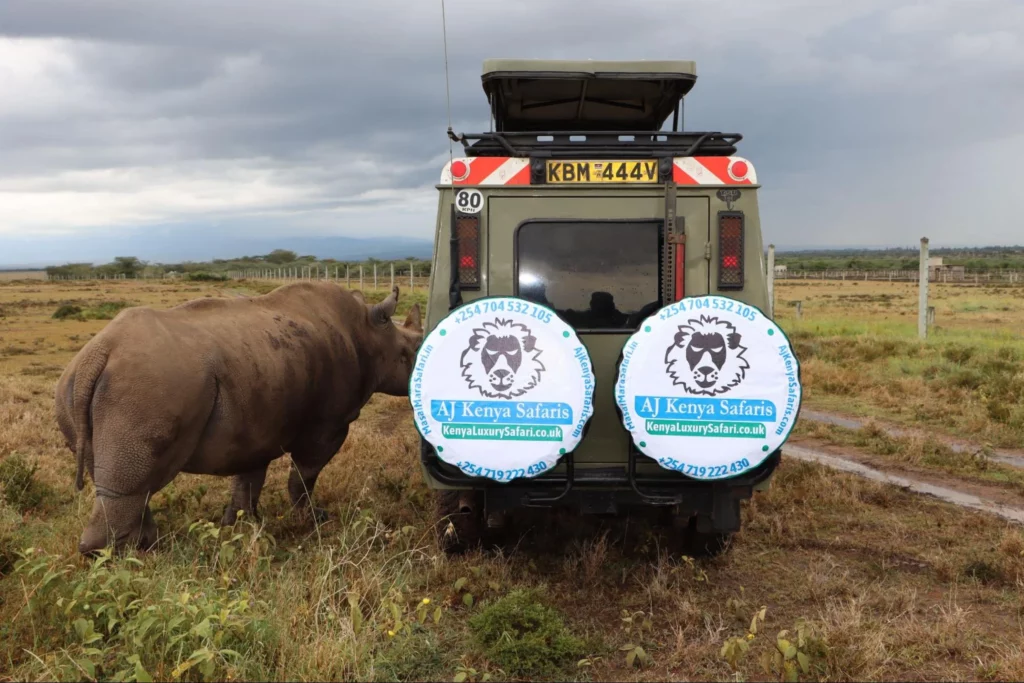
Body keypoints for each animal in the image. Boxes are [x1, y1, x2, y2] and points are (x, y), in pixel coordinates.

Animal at [55, 282, 423, 557]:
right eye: (410, 354)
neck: (368, 333)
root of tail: (100, 353)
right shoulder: (330, 424)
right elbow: (304, 476)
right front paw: (315, 520)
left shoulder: (257, 424)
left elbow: (248, 479)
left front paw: (240, 526)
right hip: (145, 385)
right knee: (133, 481)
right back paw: (128, 555)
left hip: (73, 386)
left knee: (127, 480)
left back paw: (149, 544)